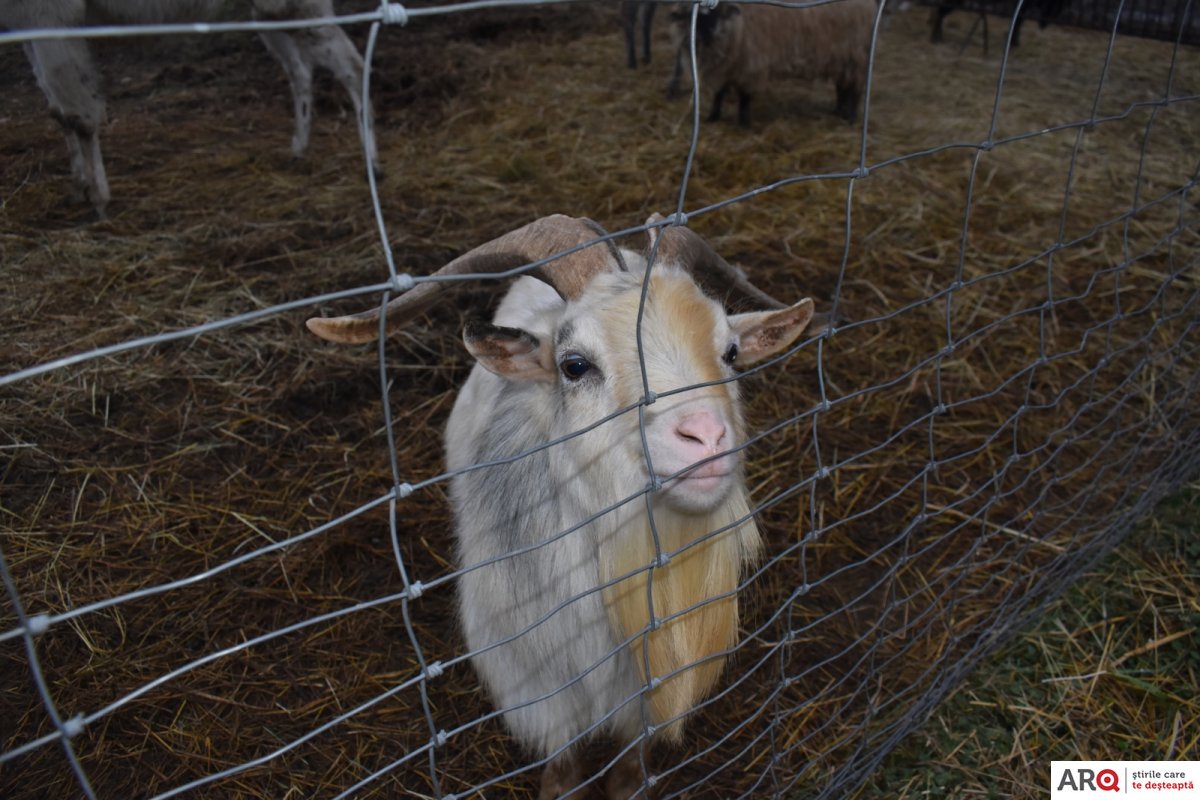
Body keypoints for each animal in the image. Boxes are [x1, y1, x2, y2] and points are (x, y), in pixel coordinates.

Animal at [0, 0, 378, 216]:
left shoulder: (50, 13)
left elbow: (79, 116)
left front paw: (99, 199)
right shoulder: (27, 22)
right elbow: (58, 112)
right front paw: (78, 187)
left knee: (352, 66)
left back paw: (372, 164)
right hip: (270, 10)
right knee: (299, 69)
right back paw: (299, 149)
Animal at [306, 214, 823, 798]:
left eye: (731, 353)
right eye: (574, 366)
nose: (706, 436)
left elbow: (629, 765)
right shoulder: (537, 689)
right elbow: (563, 763)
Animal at [666, 0, 877, 126]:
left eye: (715, 14)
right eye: (692, 17)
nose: (706, 37)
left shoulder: (751, 63)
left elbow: (745, 96)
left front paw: (744, 123)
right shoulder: (726, 67)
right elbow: (720, 93)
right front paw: (713, 117)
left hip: (856, 56)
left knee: (856, 89)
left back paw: (851, 117)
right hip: (842, 59)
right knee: (842, 87)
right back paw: (839, 111)